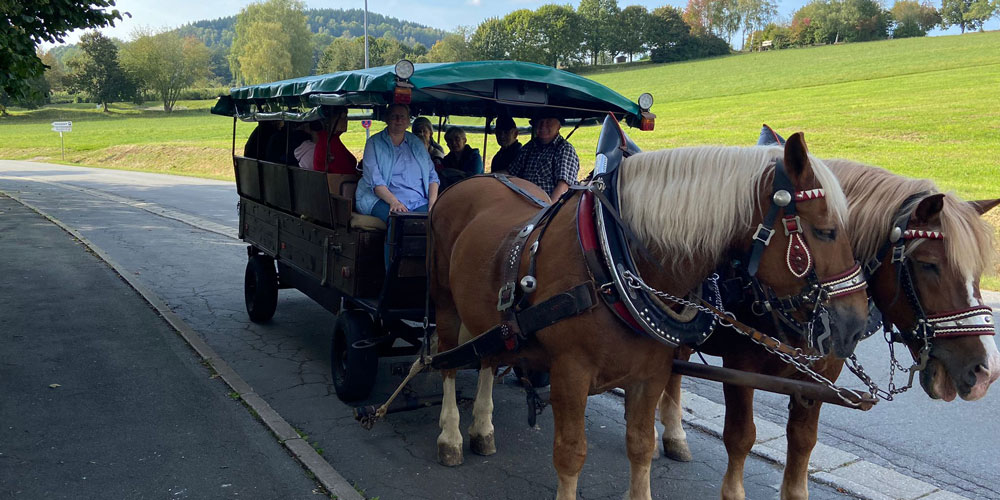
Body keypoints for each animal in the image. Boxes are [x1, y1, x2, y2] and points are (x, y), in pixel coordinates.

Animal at [434, 134, 872, 500]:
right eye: (826, 231)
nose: (856, 323)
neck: (610, 262)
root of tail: (472, 181)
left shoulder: (650, 373)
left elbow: (641, 445)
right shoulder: (570, 374)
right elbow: (571, 453)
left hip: (492, 320)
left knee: (488, 357)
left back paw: (482, 428)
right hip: (445, 302)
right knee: (447, 363)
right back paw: (451, 436)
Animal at [656, 159, 1000, 500]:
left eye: (979, 271)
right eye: (928, 264)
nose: (987, 371)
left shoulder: (821, 376)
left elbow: (803, 441)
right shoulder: (740, 368)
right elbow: (740, 437)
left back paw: (674, 435)